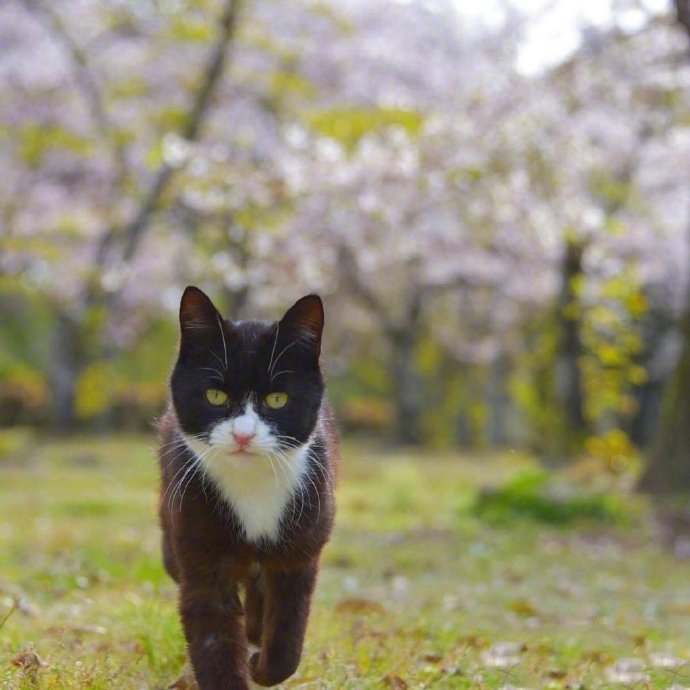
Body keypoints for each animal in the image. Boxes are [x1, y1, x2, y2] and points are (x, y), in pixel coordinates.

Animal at [157, 284, 338, 688]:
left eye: (277, 398)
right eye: (215, 396)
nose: (243, 434)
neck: (252, 485)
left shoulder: (300, 550)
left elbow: (288, 626)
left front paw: (263, 667)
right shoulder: (200, 550)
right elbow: (212, 630)